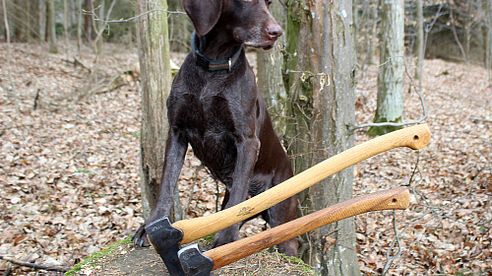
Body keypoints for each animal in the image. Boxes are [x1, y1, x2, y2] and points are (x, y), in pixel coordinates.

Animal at [133, 0, 298, 256]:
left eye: (269, 3)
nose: (277, 32)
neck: (213, 68)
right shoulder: (177, 132)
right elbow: (166, 184)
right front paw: (150, 227)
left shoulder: (247, 140)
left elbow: (238, 194)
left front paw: (227, 239)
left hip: (283, 224)